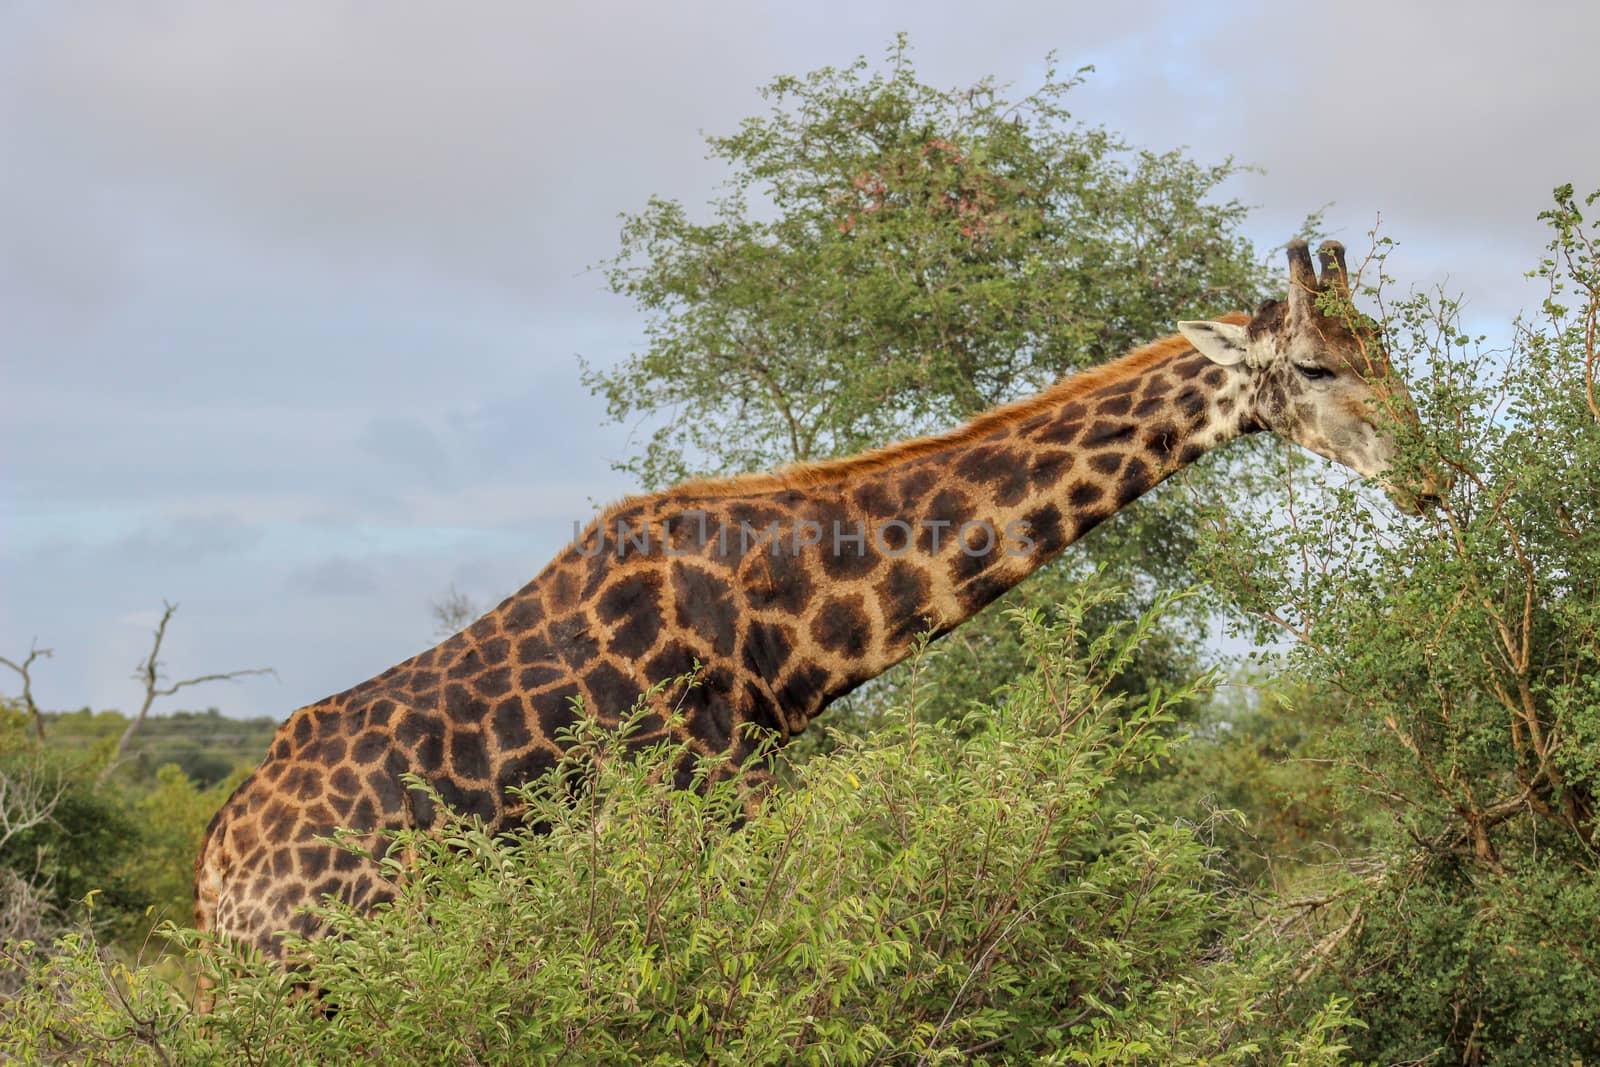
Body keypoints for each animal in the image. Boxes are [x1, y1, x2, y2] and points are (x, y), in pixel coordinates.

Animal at [193, 239, 1446, 959]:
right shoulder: (707, 801)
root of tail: (208, 886)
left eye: (1380, 344)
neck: (782, 633)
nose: (1433, 478)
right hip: (312, 967)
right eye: (1317, 366)